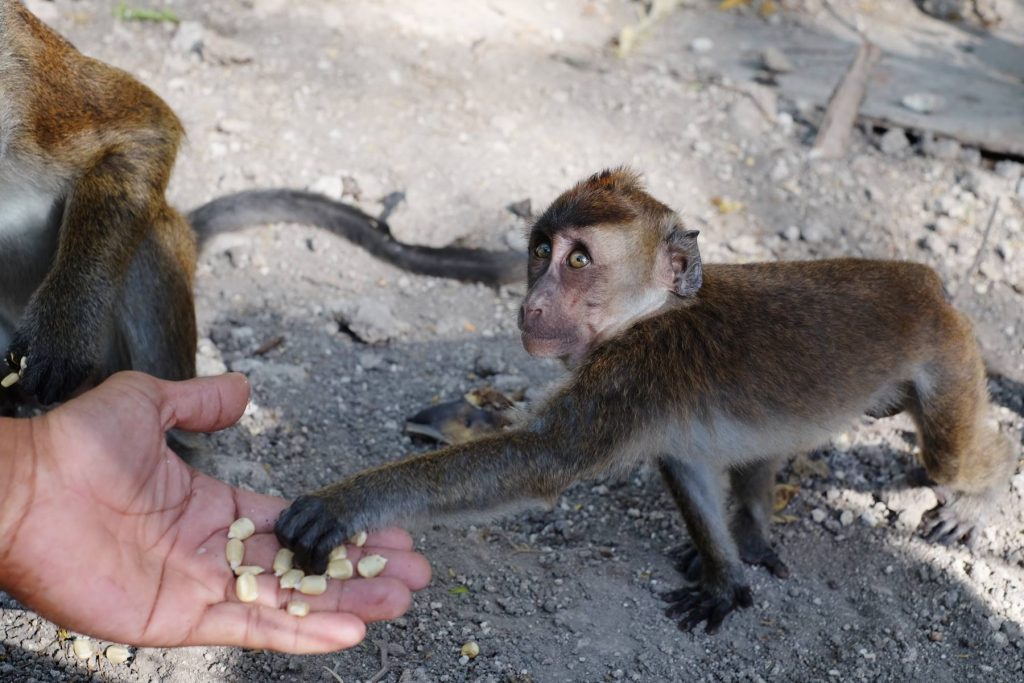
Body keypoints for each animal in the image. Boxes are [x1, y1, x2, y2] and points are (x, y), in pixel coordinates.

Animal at [274, 167, 1015, 634]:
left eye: (578, 261)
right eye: (539, 250)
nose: (531, 302)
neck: (647, 316)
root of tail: (924, 279)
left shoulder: (633, 373)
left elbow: (541, 461)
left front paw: (341, 505)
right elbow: (685, 462)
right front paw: (723, 575)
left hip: (947, 356)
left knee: (952, 455)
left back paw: (983, 489)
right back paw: (750, 522)